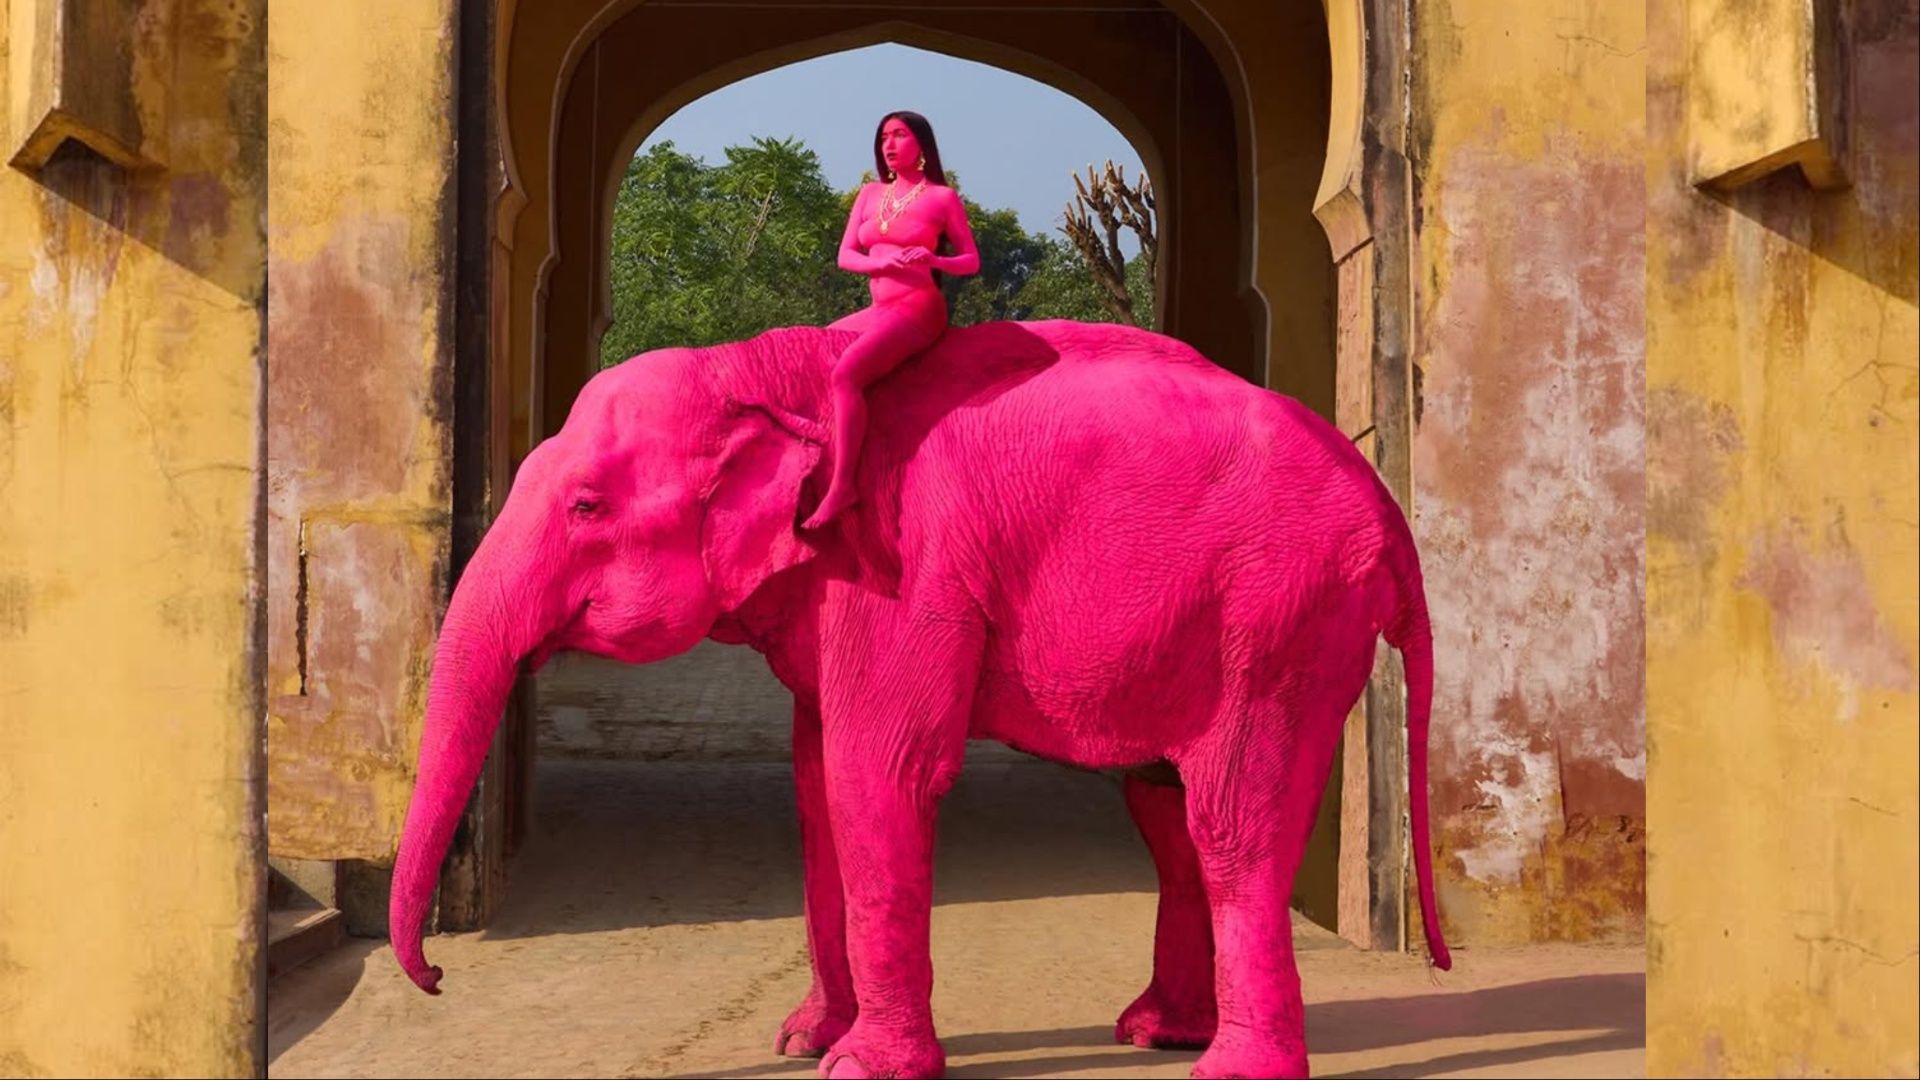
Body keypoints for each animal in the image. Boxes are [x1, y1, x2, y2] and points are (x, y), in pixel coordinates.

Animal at [388, 318, 1451, 1080]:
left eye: (584, 507)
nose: (436, 979)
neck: (774, 372)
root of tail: (1392, 512)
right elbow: (816, 785)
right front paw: (801, 1042)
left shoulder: (904, 571)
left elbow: (879, 774)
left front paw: (859, 1068)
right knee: (1165, 810)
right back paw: (1155, 1034)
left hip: (1281, 616)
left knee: (1232, 819)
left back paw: (1226, 1070)